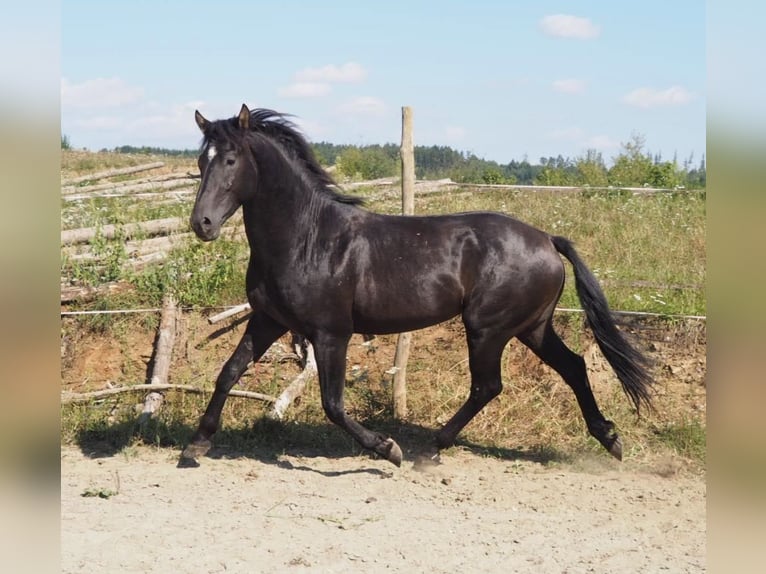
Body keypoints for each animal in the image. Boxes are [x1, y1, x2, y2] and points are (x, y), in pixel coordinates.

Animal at [180, 104, 653, 468]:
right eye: (202, 162)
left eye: (231, 160)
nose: (202, 224)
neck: (308, 238)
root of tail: (547, 240)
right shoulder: (268, 320)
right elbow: (228, 373)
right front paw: (196, 445)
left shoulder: (331, 333)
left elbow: (333, 404)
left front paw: (388, 449)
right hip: (531, 327)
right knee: (573, 366)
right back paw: (610, 439)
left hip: (488, 328)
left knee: (488, 386)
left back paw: (431, 449)